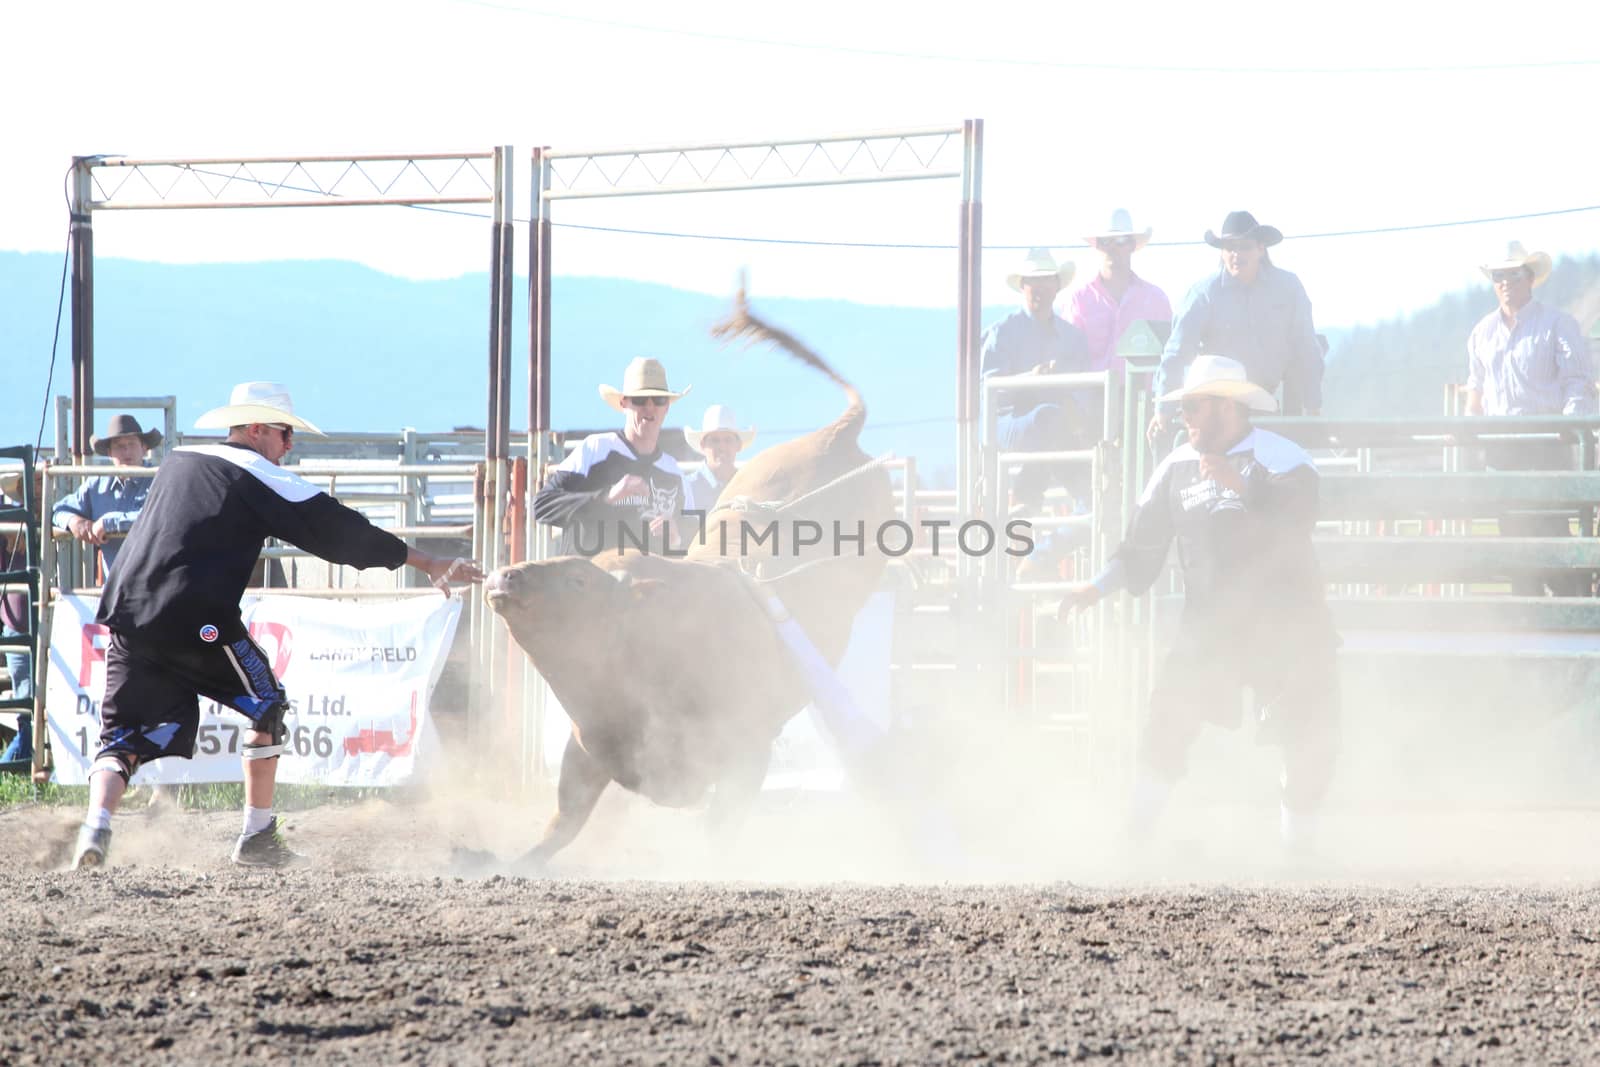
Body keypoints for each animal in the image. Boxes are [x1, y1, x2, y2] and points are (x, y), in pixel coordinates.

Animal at [483, 289, 902, 870]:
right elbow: (563, 821)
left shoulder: (749, 750)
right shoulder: (588, 745)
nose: (505, 575)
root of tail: (838, 432)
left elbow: (719, 826)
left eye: (579, 583)